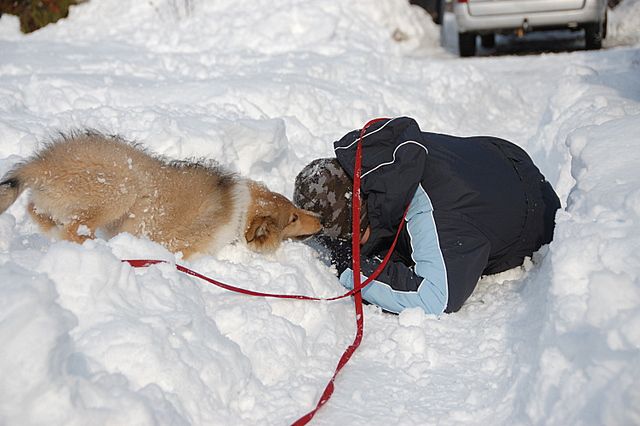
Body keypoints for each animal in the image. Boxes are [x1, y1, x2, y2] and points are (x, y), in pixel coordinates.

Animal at [0, 131, 320, 256]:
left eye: (295, 210)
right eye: (292, 218)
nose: (321, 219)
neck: (239, 211)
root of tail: (41, 166)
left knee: (37, 211)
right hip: (121, 191)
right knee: (72, 229)